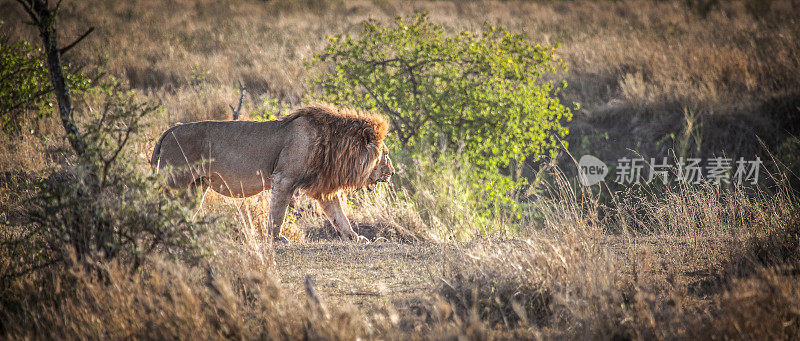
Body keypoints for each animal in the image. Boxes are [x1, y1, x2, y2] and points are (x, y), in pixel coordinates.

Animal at [150, 105, 394, 240]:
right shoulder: (284, 179)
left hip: (195, 186)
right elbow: (278, 213)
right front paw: (276, 238)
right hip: (175, 181)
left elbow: (338, 215)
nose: (391, 172)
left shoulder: (323, 186)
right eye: (386, 154)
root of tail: (171, 129)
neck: (333, 144)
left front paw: (355, 237)